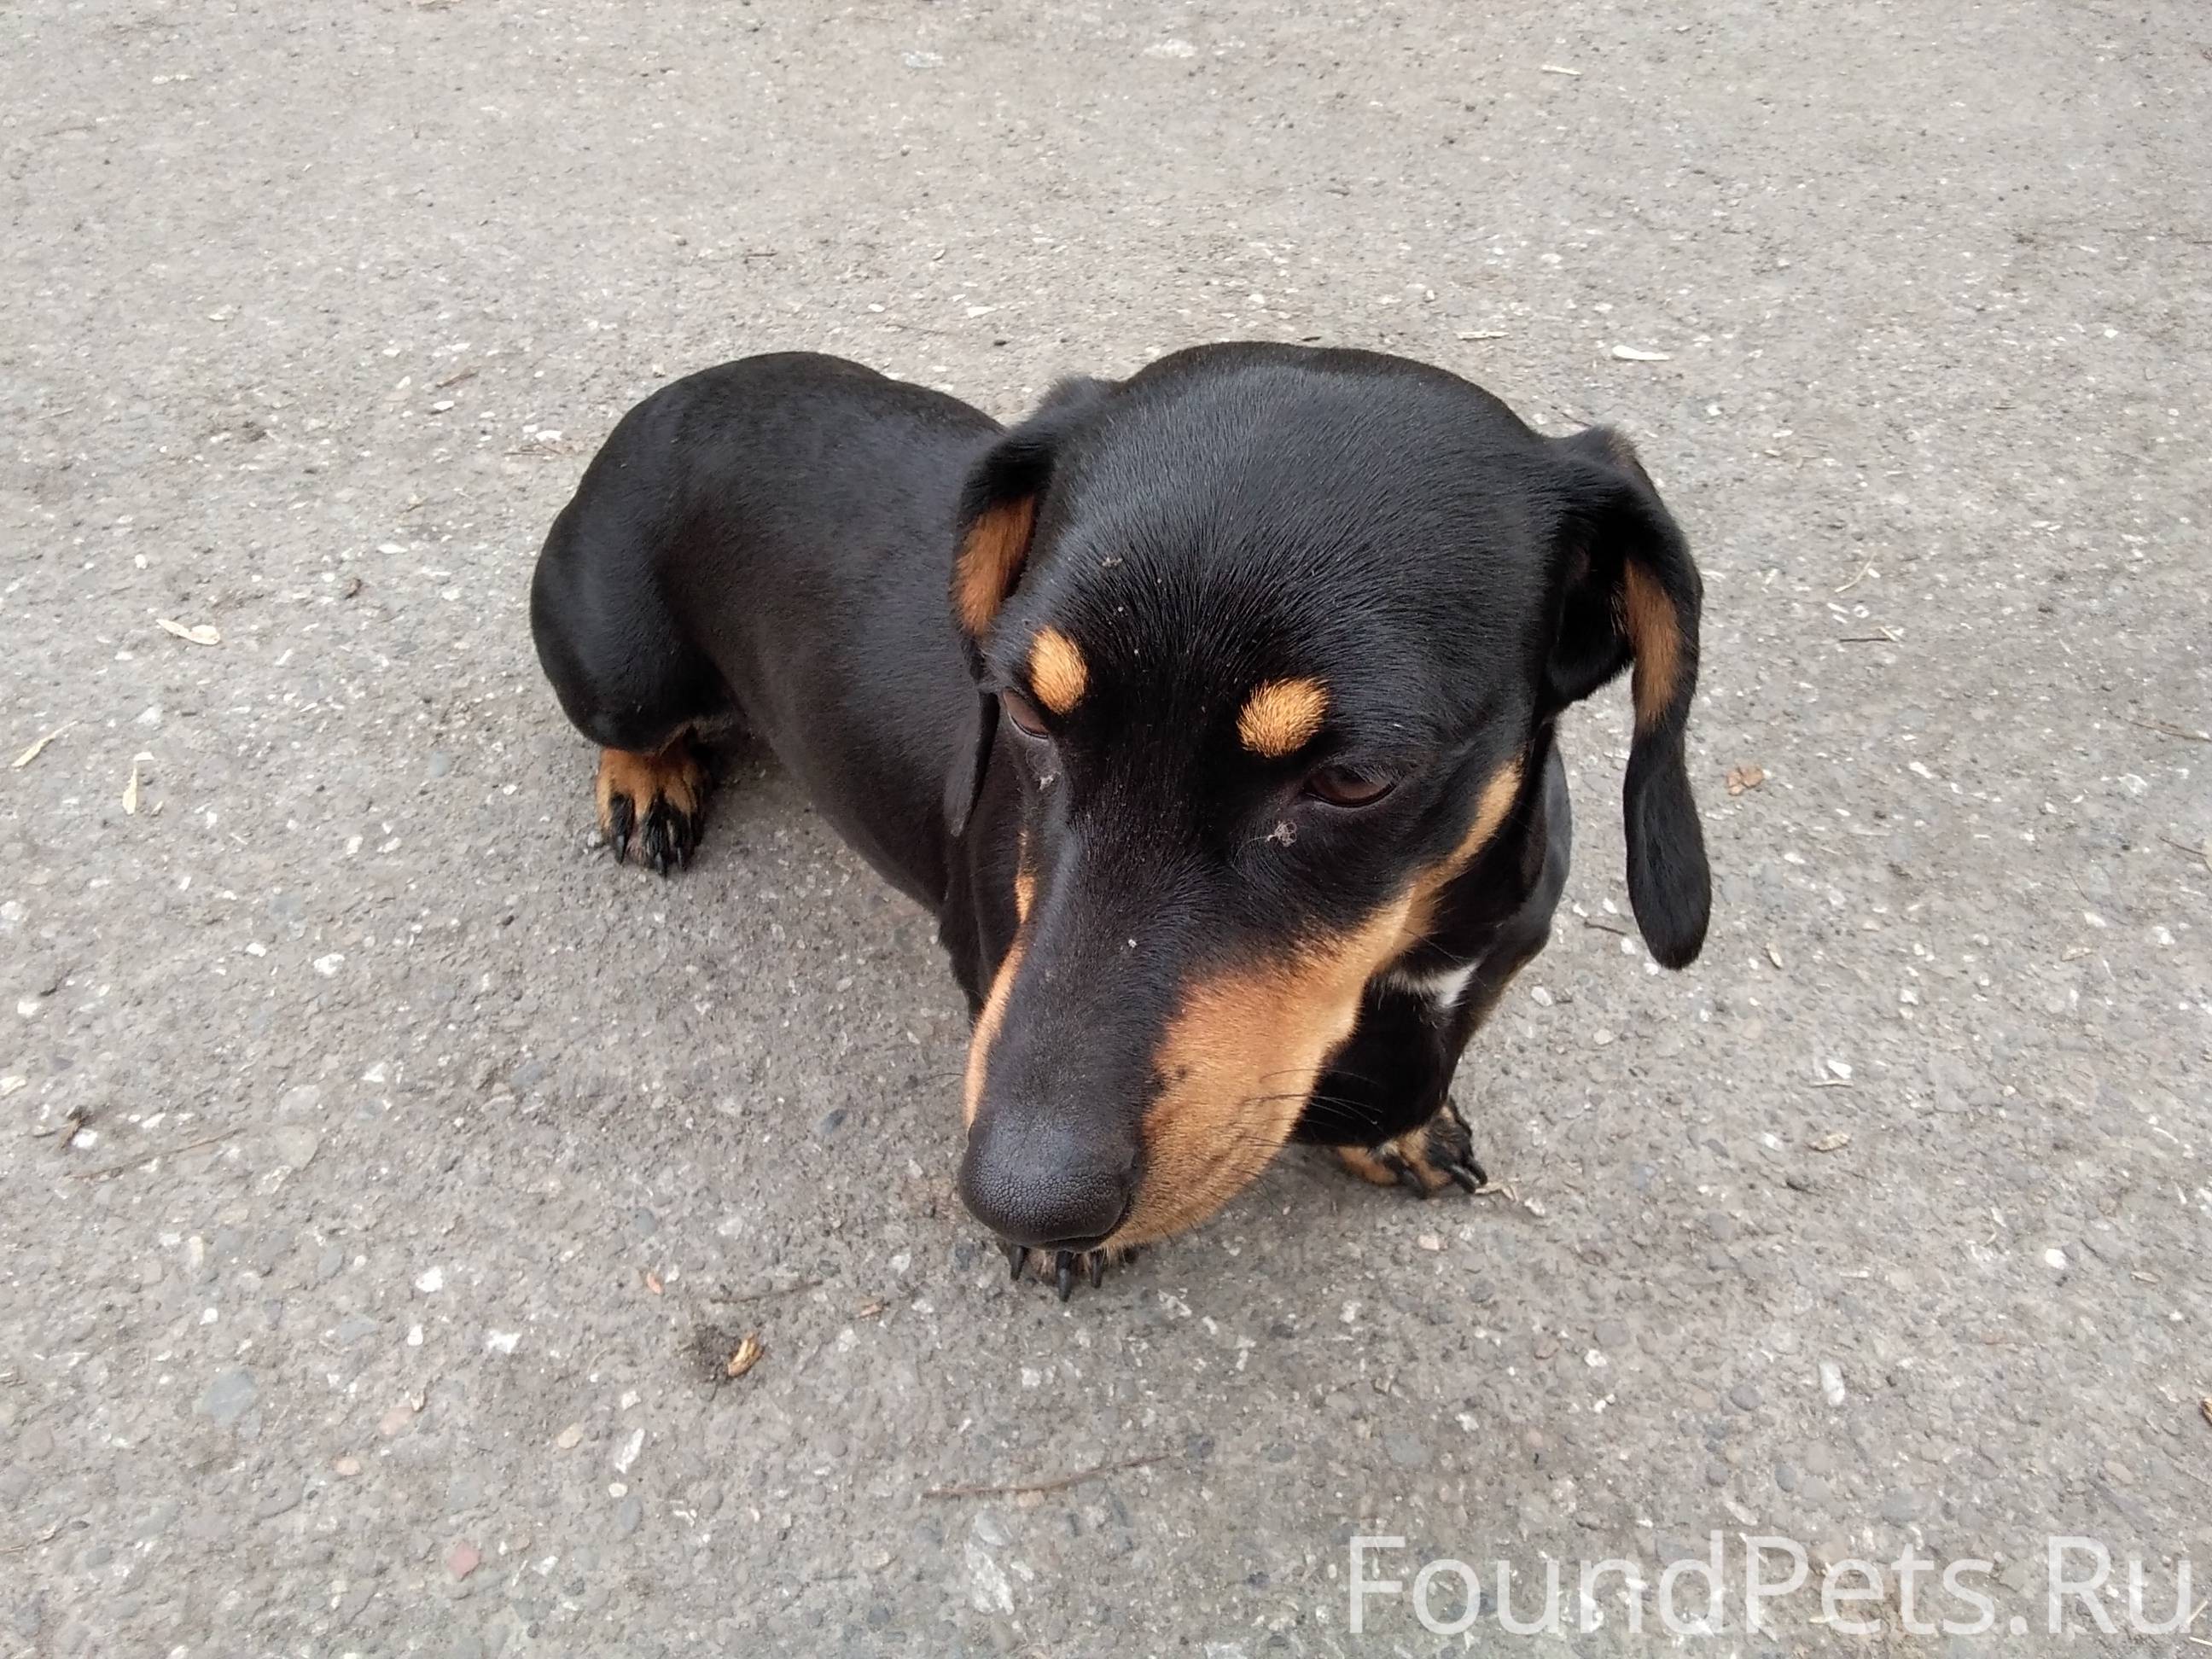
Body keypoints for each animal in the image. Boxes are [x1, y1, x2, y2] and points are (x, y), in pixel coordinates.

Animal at [530, 344, 1710, 1298]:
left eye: (1357, 781)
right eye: (1023, 712)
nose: (1021, 1199)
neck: (1416, 942)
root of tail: (669, 398)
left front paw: (1405, 1130)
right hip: (621, 673)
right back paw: (646, 782)